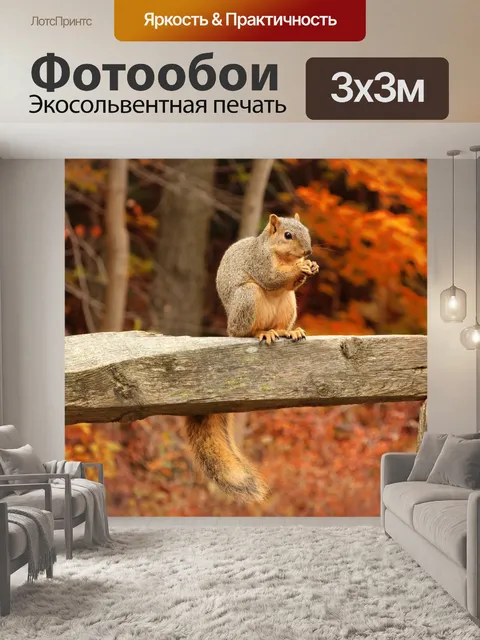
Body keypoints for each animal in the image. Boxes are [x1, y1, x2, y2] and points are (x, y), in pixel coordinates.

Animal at [186, 213, 319, 503]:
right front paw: (301, 266)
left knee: (282, 318)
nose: (308, 252)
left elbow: (290, 282)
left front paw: (311, 266)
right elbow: (272, 277)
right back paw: (263, 332)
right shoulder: (260, 262)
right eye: (288, 235)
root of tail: (229, 327)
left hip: (289, 303)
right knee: (247, 330)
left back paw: (288, 331)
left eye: (306, 230)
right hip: (247, 298)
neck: (278, 253)